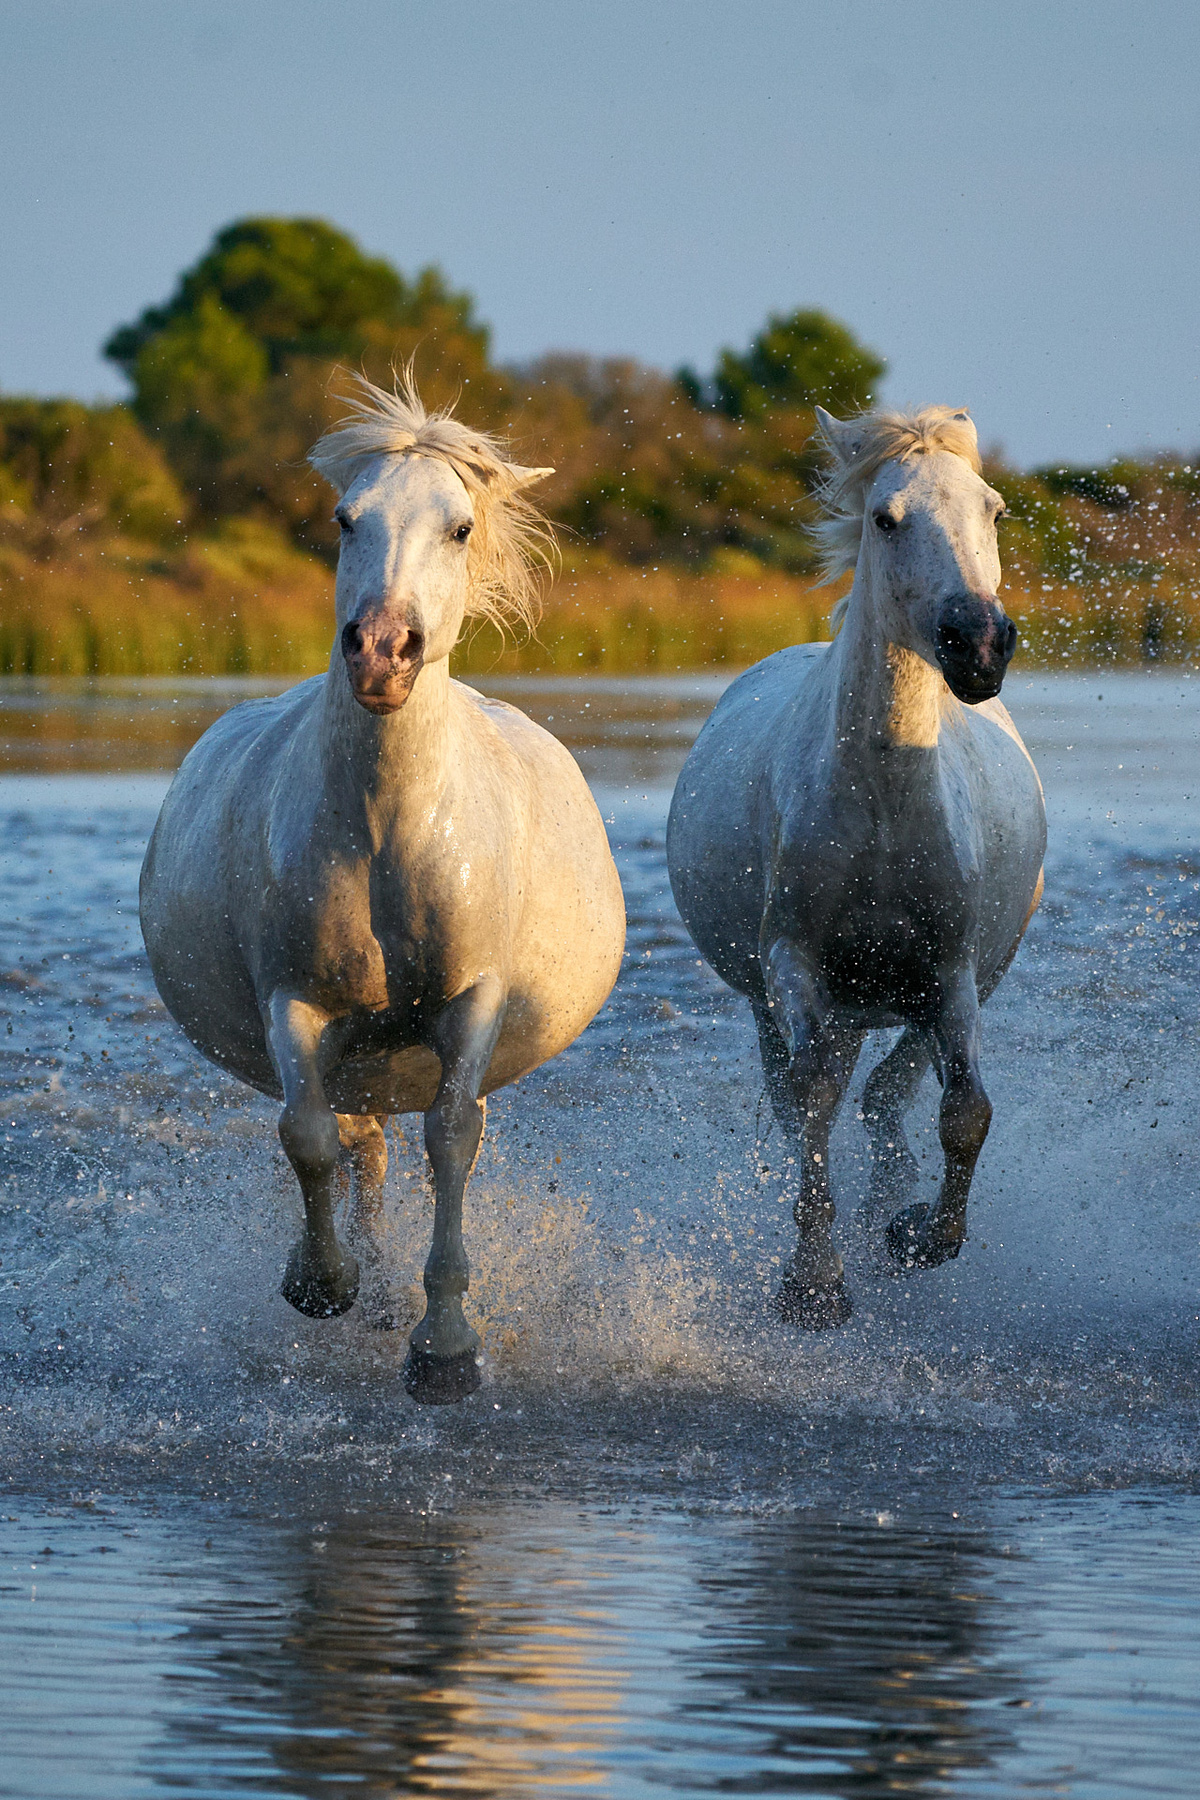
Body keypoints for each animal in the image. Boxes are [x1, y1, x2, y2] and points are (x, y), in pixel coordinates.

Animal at [140, 376, 625, 1403]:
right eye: (344, 519)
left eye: (460, 526)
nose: (380, 651)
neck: (388, 836)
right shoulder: (296, 999)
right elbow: (309, 1137)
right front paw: (323, 1284)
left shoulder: (472, 1000)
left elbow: (451, 1141)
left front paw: (445, 1349)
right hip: (354, 1046)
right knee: (355, 1140)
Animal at [666, 406, 1045, 1327]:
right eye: (886, 518)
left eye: (994, 510)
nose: (979, 645)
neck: (882, 809)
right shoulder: (793, 963)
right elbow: (810, 1107)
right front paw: (813, 1287)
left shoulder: (950, 969)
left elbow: (966, 1111)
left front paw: (917, 1239)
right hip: (780, 1000)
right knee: (812, 1093)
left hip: (935, 985)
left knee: (881, 1092)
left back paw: (890, 1204)